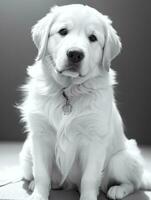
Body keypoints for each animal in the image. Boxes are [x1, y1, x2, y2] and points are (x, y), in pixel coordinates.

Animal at [18, 4, 151, 200]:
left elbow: (89, 177)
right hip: (26, 154)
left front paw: (88, 196)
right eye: (63, 31)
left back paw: (118, 190)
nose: (75, 54)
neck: (67, 92)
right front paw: (39, 194)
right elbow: (41, 172)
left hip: (122, 159)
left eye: (93, 38)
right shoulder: (40, 136)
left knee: (133, 183)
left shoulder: (94, 139)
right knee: (35, 173)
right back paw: (43, 183)